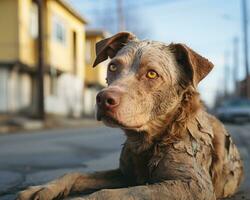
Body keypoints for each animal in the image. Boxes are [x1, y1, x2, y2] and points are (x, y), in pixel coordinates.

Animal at [18, 32, 244, 199]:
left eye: (152, 74)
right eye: (112, 66)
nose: (103, 99)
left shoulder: (192, 185)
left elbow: (111, 194)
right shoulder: (125, 174)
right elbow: (75, 173)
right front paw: (42, 188)